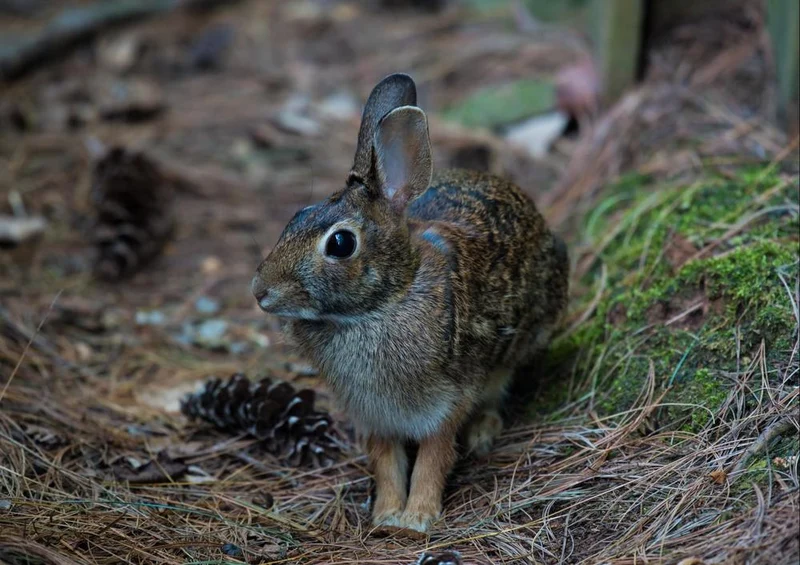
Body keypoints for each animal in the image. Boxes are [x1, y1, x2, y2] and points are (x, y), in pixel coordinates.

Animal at [251, 73, 569, 533]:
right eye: (297, 215)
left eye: (340, 243)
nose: (260, 291)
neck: (382, 304)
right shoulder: (374, 416)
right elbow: (387, 462)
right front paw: (386, 516)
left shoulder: (447, 401)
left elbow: (433, 458)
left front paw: (417, 517)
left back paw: (482, 433)